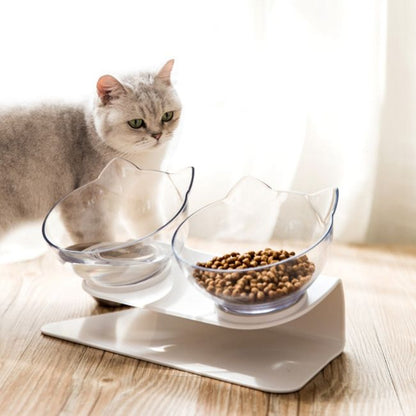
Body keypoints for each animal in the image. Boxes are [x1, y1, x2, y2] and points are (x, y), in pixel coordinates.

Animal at [0, 60, 182, 239]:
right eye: (136, 123)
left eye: (167, 116)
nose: (157, 135)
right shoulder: (86, 211)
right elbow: (103, 243)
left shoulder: (140, 199)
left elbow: (153, 231)